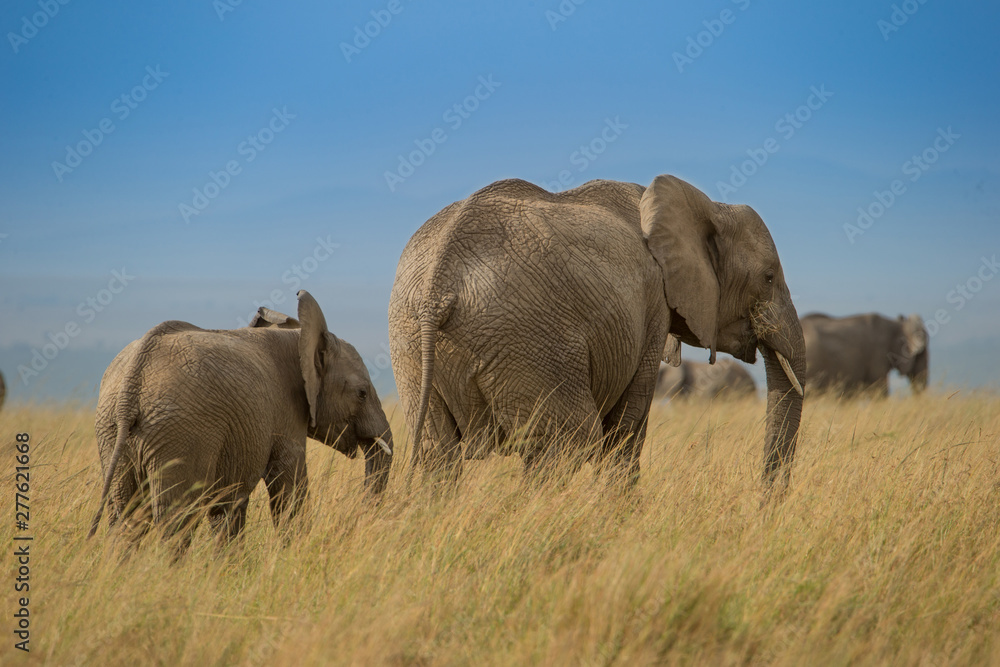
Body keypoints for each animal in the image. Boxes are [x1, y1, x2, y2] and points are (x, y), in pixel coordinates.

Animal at [89, 292, 394, 548]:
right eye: (362, 393)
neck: (299, 337)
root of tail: (132, 384)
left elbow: (228, 506)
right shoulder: (286, 411)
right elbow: (289, 485)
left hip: (113, 433)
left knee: (125, 519)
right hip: (179, 435)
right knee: (176, 520)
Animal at [388, 176, 804, 490]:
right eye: (769, 277)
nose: (762, 502)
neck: (706, 205)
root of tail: (439, 284)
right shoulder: (652, 307)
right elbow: (627, 427)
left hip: (410, 344)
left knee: (438, 454)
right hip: (530, 346)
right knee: (565, 444)